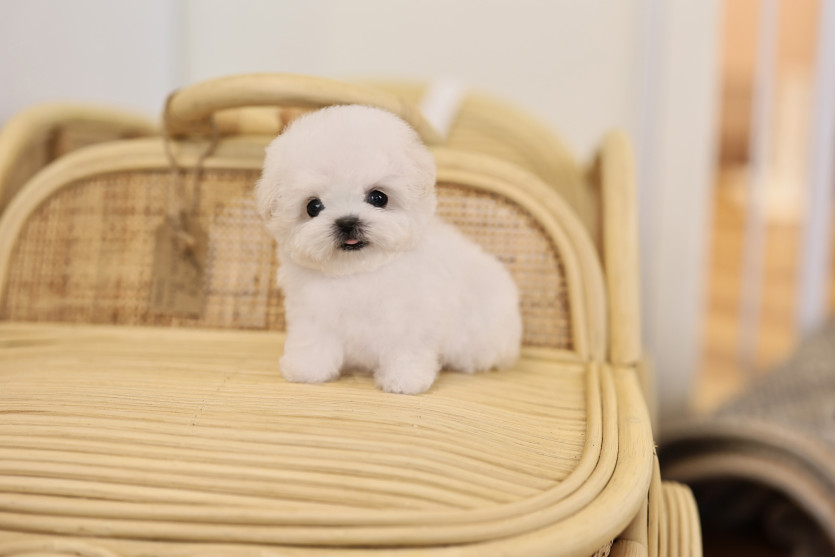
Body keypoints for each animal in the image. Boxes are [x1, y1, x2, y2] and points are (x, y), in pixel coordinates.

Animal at [255, 105, 521, 394]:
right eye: (313, 206)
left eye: (378, 197)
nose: (347, 222)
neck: (359, 272)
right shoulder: (311, 312)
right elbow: (312, 340)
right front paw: (307, 369)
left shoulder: (412, 318)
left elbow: (407, 349)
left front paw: (404, 380)